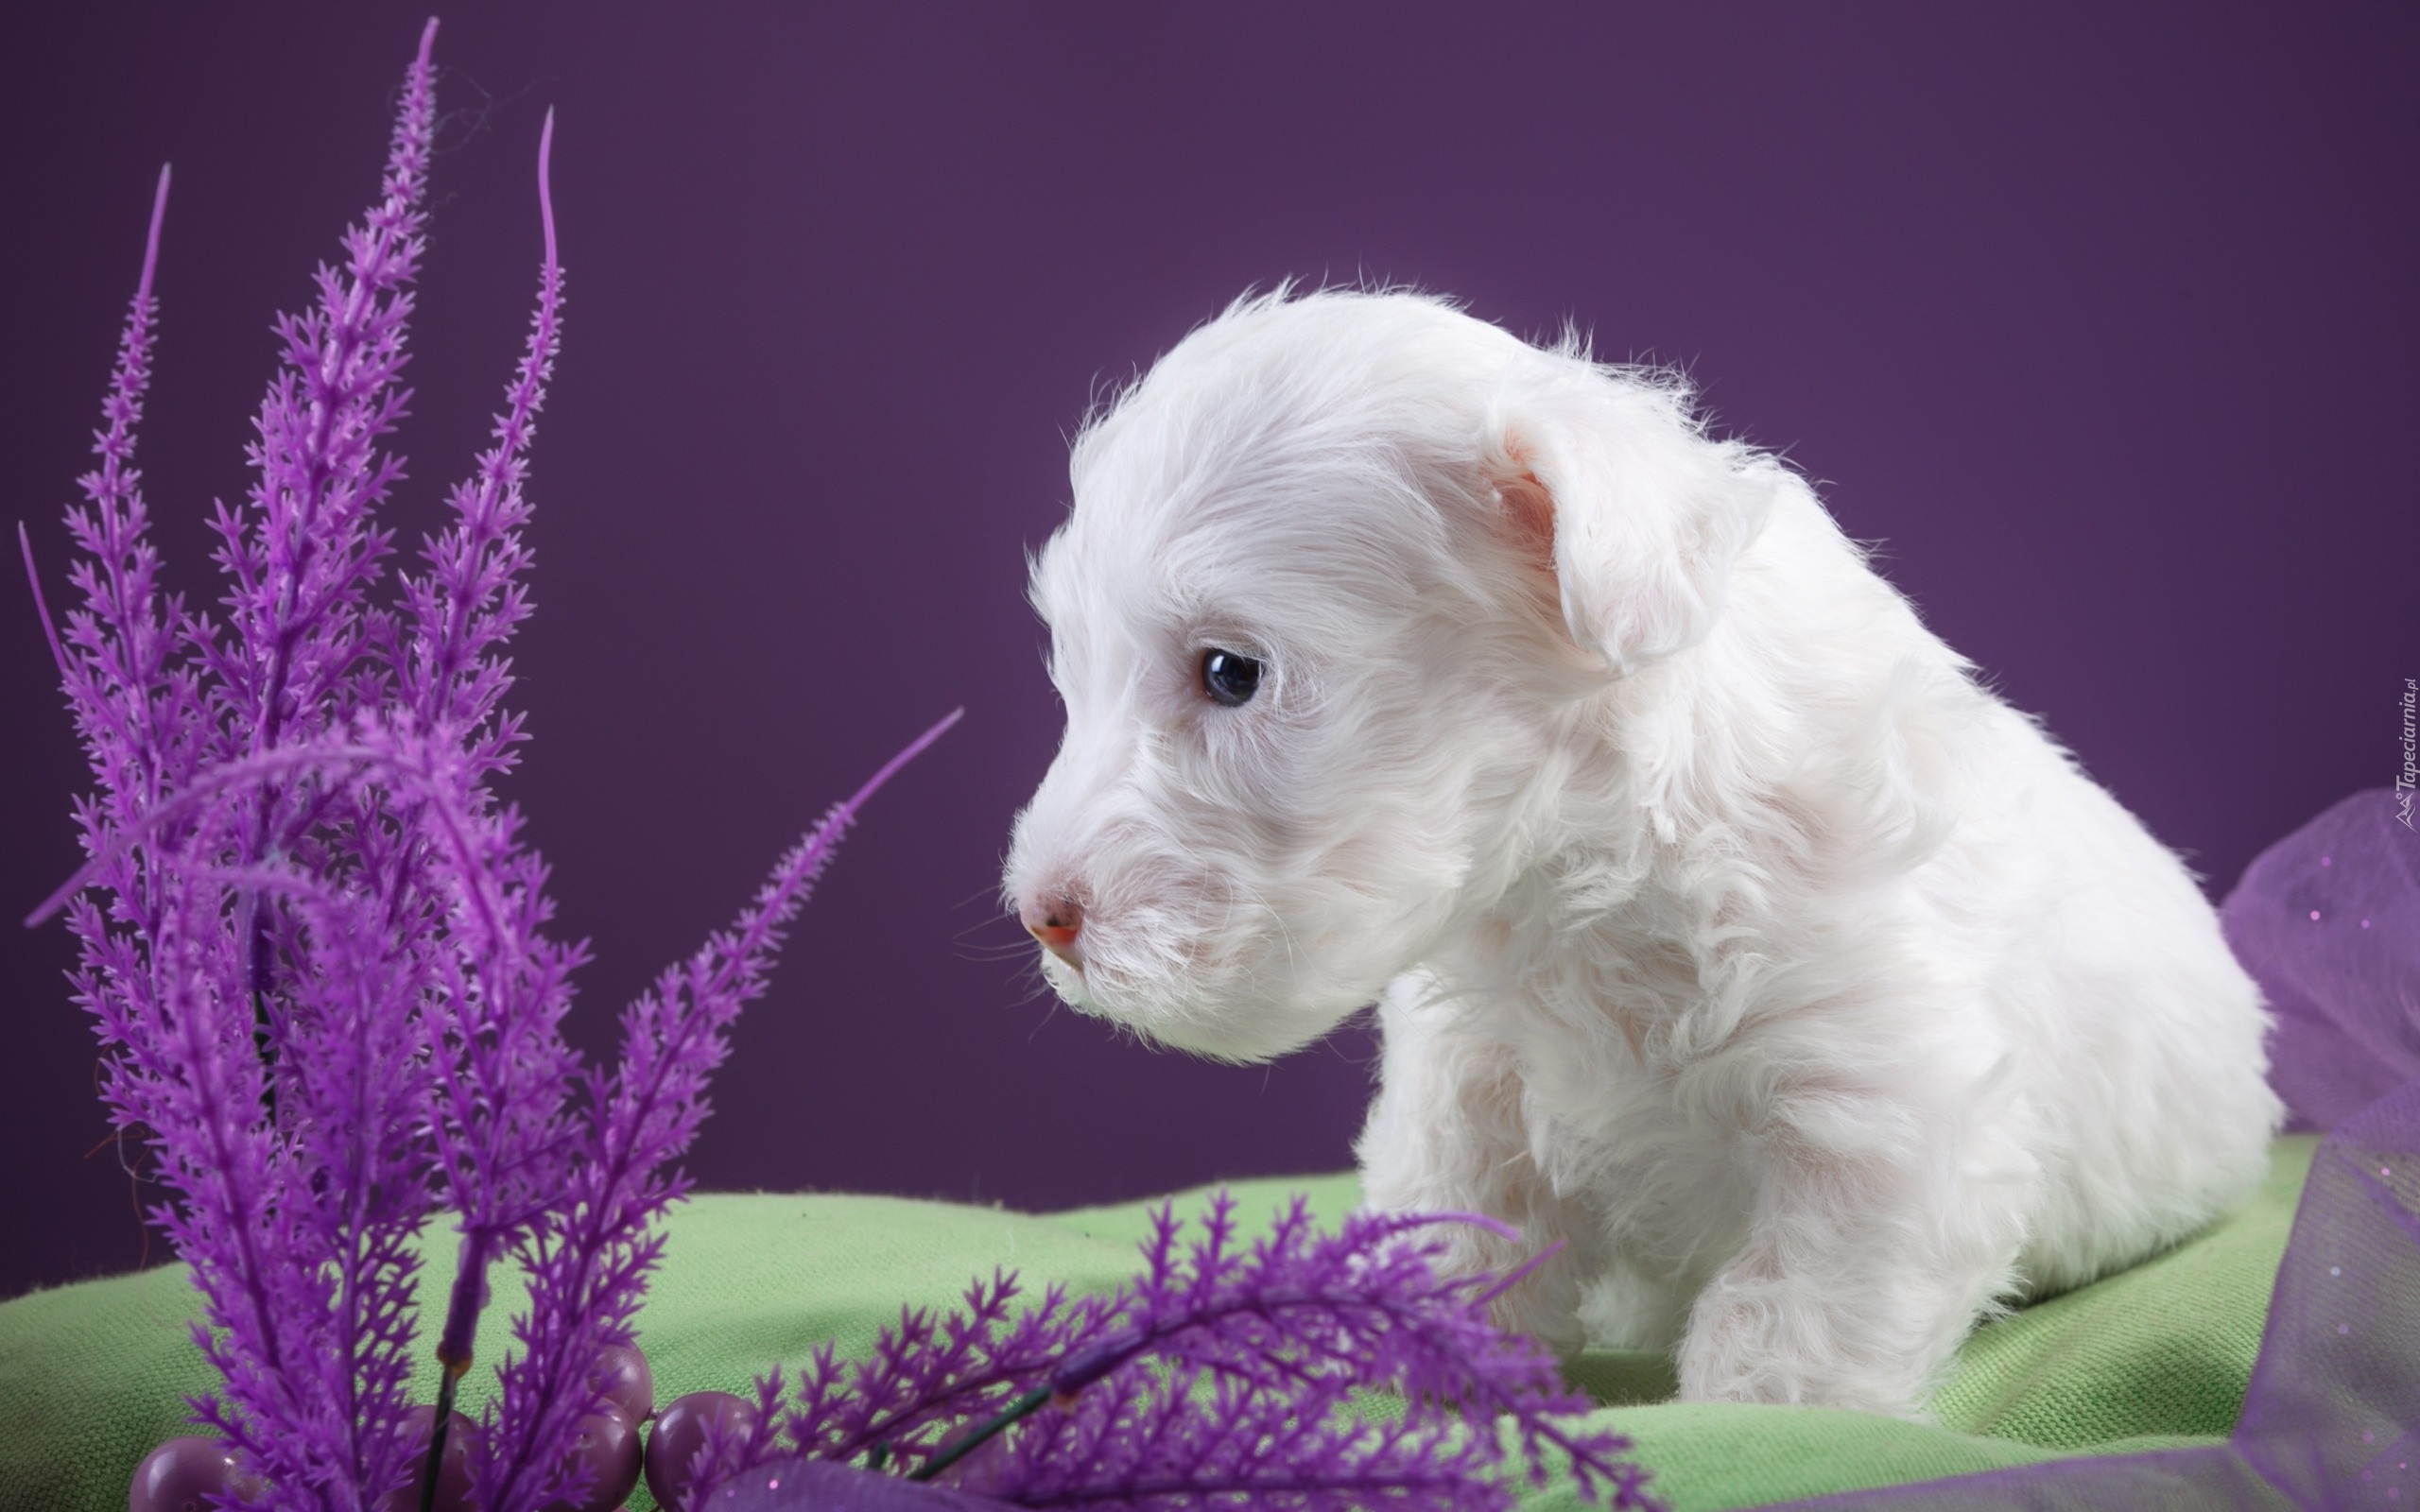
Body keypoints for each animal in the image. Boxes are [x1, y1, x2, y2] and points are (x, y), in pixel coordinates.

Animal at [996, 288, 2265, 1413]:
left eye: (1230, 672)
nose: (1042, 914)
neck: (1582, 882)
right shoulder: (1468, 1085)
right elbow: (1456, 1237)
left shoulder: (1880, 1106)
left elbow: (1802, 1302)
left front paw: (1758, 1408)